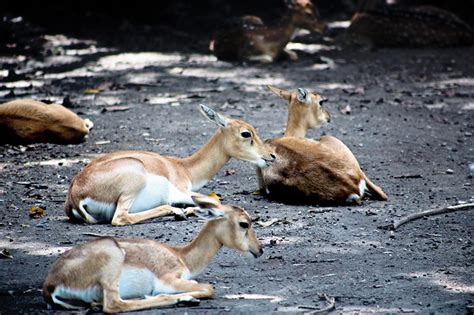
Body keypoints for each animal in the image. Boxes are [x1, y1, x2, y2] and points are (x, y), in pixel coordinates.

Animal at [43, 198, 262, 314]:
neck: (182, 256)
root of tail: (51, 284)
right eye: (244, 224)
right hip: (112, 260)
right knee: (114, 304)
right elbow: (208, 288)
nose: (259, 250)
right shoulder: (169, 279)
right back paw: (181, 299)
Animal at [65, 105, 276, 226]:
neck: (183, 167)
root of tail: (74, 195)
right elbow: (215, 201)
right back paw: (177, 212)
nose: (271, 155)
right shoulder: (181, 192)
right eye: (246, 133)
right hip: (134, 180)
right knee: (120, 218)